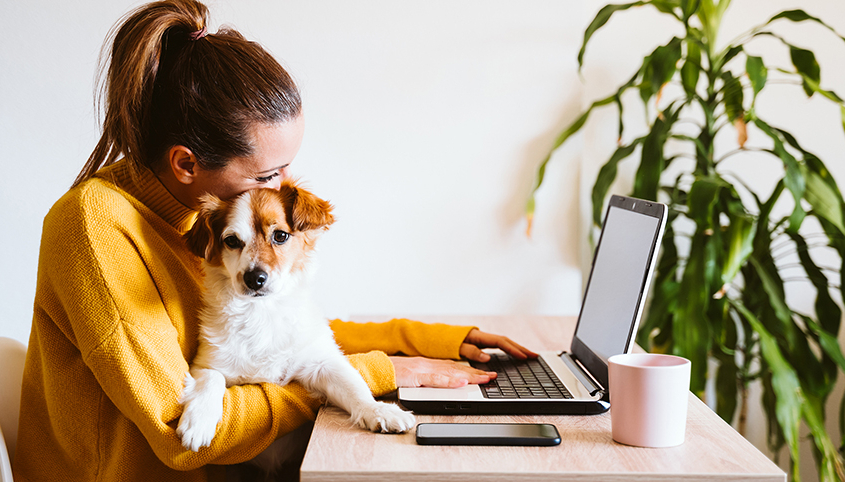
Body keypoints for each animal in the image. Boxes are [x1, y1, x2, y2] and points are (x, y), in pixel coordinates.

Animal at [176, 182, 414, 456]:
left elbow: (354, 386)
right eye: (232, 241)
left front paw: (379, 410)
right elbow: (210, 380)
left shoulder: (322, 363)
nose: (254, 278)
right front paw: (199, 420)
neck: (262, 313)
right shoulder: (206, 363)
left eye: (280, 236)